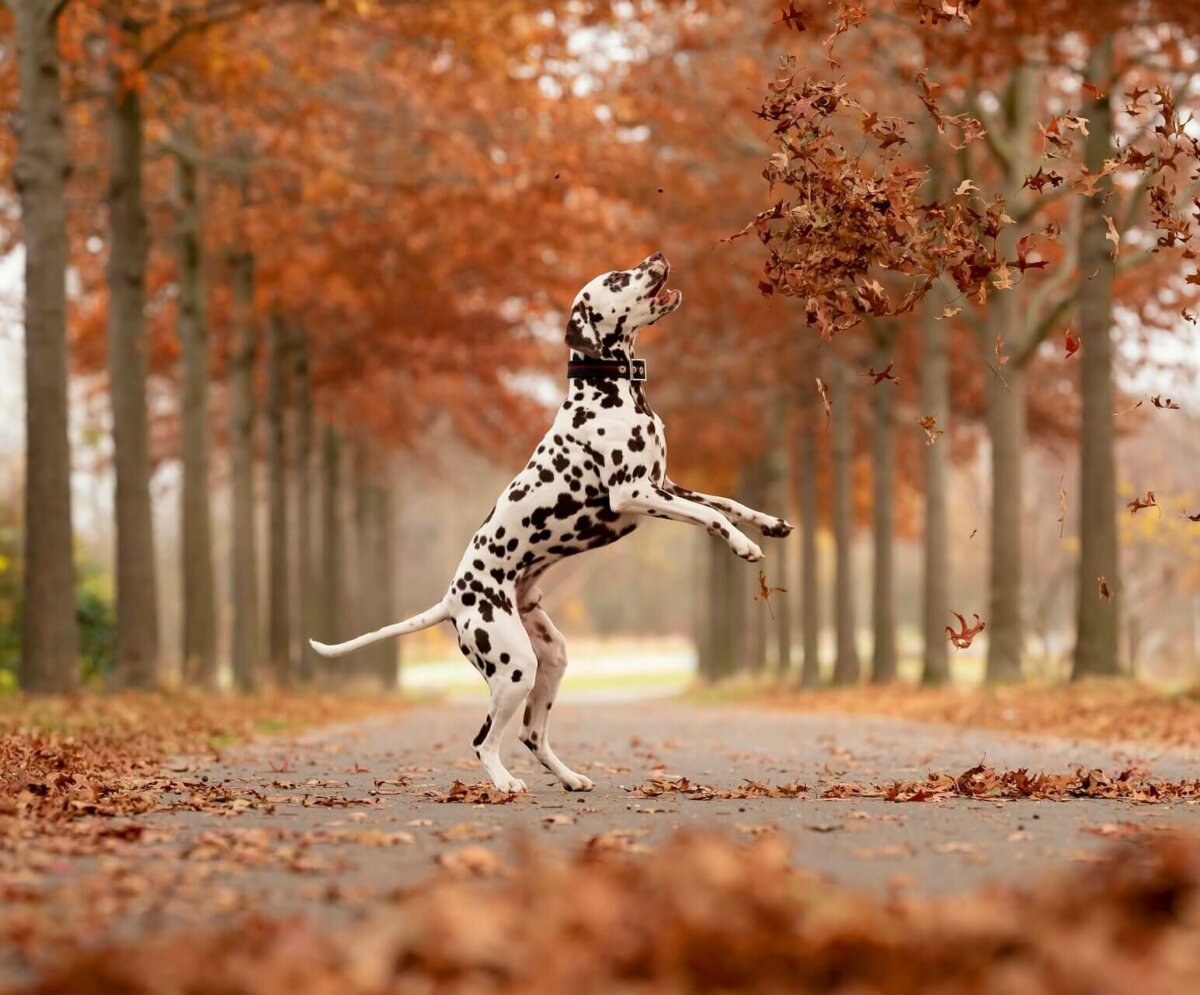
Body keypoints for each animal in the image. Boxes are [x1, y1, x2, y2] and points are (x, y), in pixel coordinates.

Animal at [314, 254, 792, 792]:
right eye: (617, 279)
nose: (657, 257)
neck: (612, 392)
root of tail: (453, 600)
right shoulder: (636, 492)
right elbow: (710, 515)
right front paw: (743, 546)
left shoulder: (665, 484)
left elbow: (725, 502)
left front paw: (768, 524)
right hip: (514, 666)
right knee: (483, 740)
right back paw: (504, 783)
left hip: (552, 657)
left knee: (532, 734)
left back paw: (571, 777)